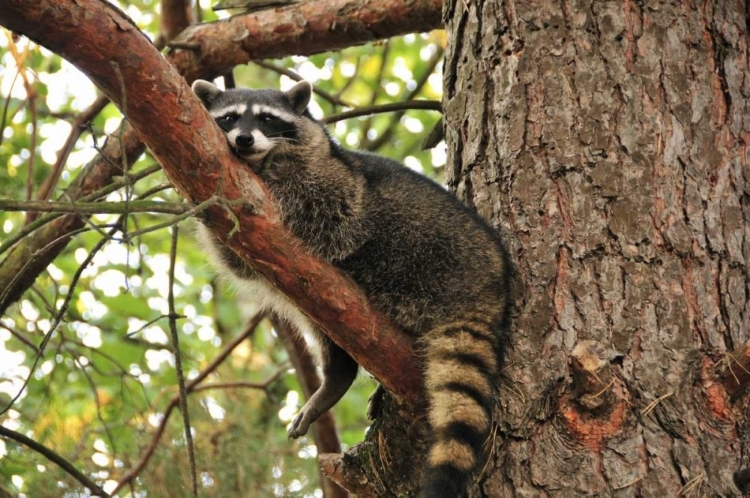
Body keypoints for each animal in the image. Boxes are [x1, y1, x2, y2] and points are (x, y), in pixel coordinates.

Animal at [191, 80, 516, 496]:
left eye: (268, 119)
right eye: (230, 118)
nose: (244, 139)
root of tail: (493, 285)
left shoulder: (334, 179)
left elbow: (327, 201)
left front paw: (278, 166)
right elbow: (238, 259)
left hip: (425, 252)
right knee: (331, 338)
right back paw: (338, 375)